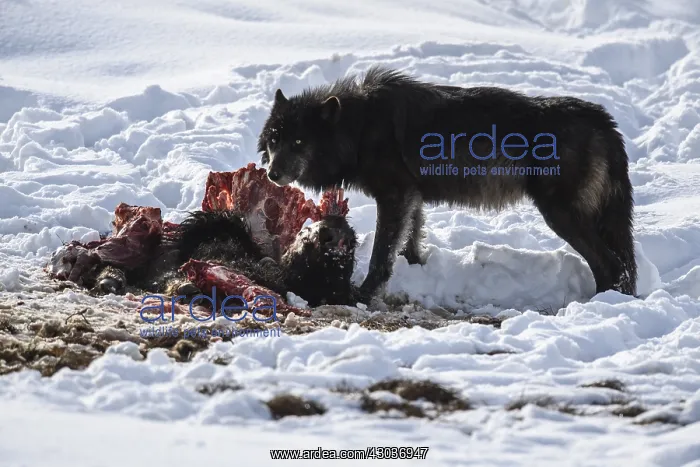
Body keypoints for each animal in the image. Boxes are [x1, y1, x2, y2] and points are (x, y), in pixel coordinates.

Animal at [257, 66, 637, 303]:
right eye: (275, 141)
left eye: (299, 143)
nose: (272, 174)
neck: (359, 128)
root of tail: (603, 120)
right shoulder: (411, 196)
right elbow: (410, 239)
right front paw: (416, 268)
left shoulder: (395, 195)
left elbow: (382, 252)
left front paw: (364, 294)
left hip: (560, 214)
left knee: (612, 265)